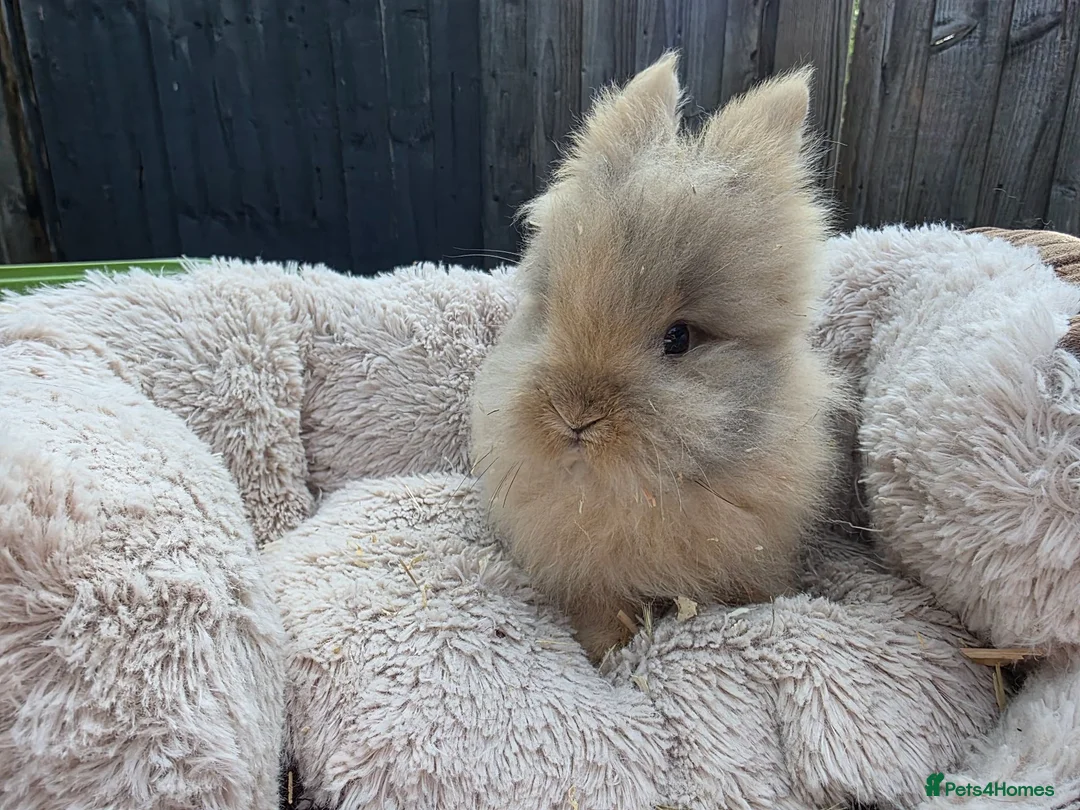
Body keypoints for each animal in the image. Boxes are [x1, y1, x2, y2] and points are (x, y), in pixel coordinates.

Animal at [469, 51, 846, 663]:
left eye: (680, 338)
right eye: (549, 311)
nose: (575, 417)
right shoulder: (592, 581)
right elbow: (604, 616)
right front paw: (604, 658)